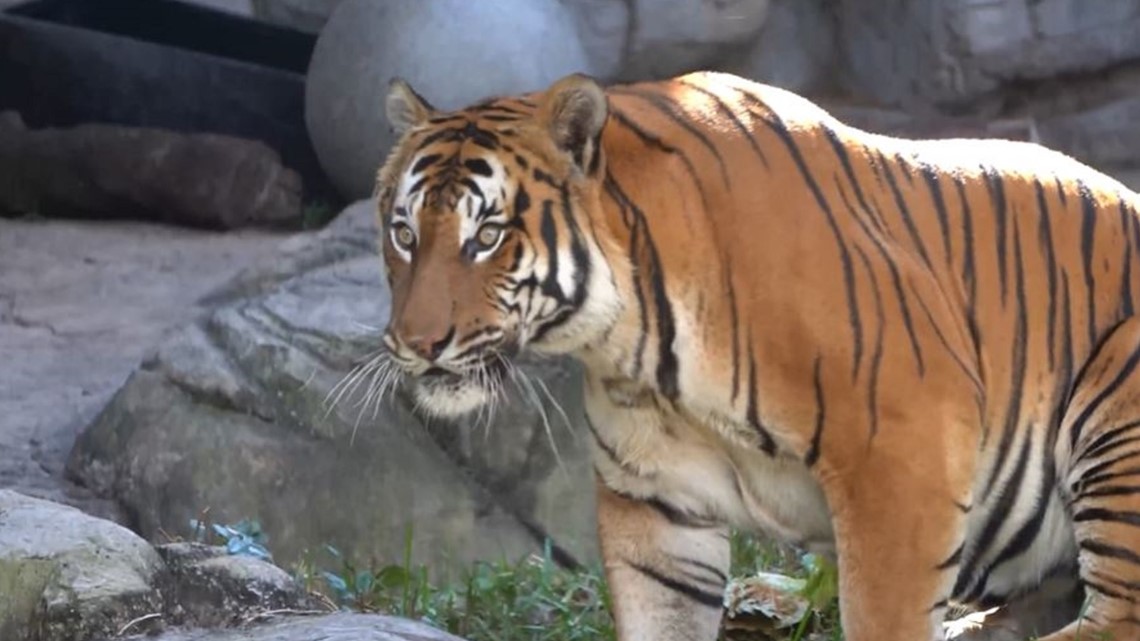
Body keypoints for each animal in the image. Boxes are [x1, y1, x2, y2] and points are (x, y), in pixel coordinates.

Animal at [372, 69, 1140, 641]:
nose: (417, 343)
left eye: (487, 236)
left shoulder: (904, 461)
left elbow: (884, 615)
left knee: (1115, 620)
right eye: (404, 233)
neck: (631, 341)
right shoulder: (655, 503)